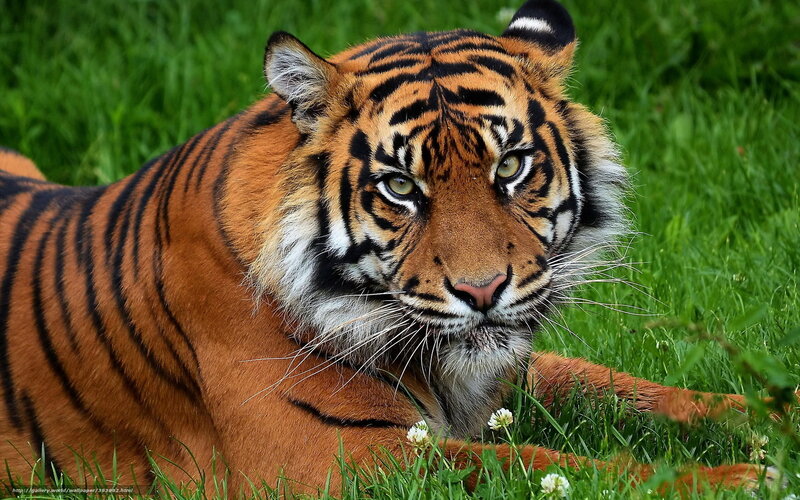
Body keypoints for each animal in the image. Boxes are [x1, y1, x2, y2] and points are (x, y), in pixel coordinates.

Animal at [0, 0, 788, 496]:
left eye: (511, 166)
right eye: (401, 187)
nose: (482, 291)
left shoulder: (500, 372)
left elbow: (630, 388)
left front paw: (777, 415)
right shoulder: (331, 454)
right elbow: (538, 464)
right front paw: (740, 480)